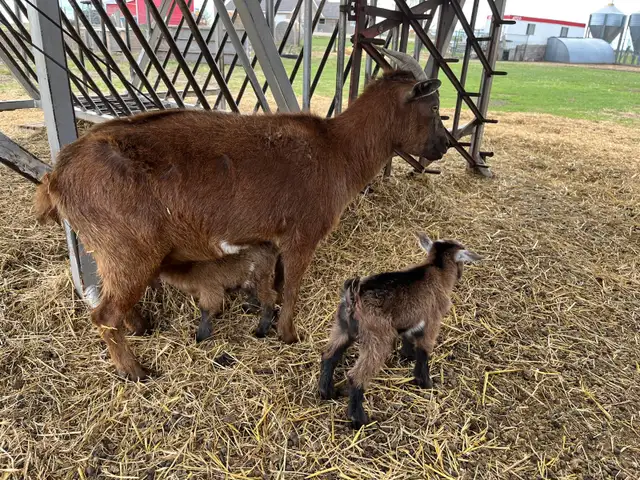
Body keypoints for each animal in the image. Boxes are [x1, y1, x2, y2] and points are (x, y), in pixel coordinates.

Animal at [34, 48, 450, 380]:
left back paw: (142, 327)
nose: (444, 146)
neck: (337, 149)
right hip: (127, 248)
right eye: (432, 107)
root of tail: (58, 174)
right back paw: (135, 370)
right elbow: (293, 286)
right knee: (103, 315)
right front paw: (289, 334)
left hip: (117, 252)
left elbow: (278, 283)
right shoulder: (302, 234)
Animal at [318, 233, 481, 429]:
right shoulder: (433, 321)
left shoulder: (412, 319)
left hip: (342, 327)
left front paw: (407, 355)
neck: (436, 269)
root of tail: (353, 295)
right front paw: (425, 382)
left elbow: (408, 336)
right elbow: (424, 349)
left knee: (329, 355)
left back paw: (327, 392)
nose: (460, 275)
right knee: (355, 376)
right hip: (378, 338)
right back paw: (360, 420)